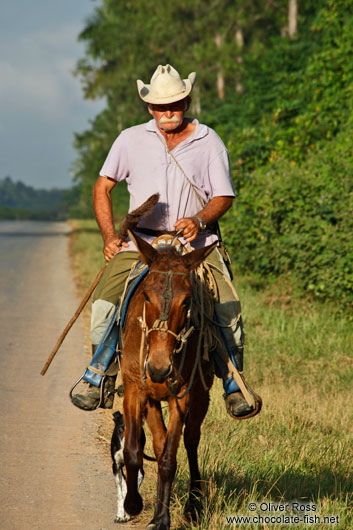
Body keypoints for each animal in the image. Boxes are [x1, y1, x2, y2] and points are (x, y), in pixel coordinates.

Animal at [119, 232, 216, 528]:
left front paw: (162, 519)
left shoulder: (181, 396)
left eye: (186, 301)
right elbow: (133, 451)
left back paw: (194, 505)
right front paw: (132, 504)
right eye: (146, 296)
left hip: (201, 394)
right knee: (158, 442)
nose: (159, 368)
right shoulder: (135, 391)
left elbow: (169, 459)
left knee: (191, 440)